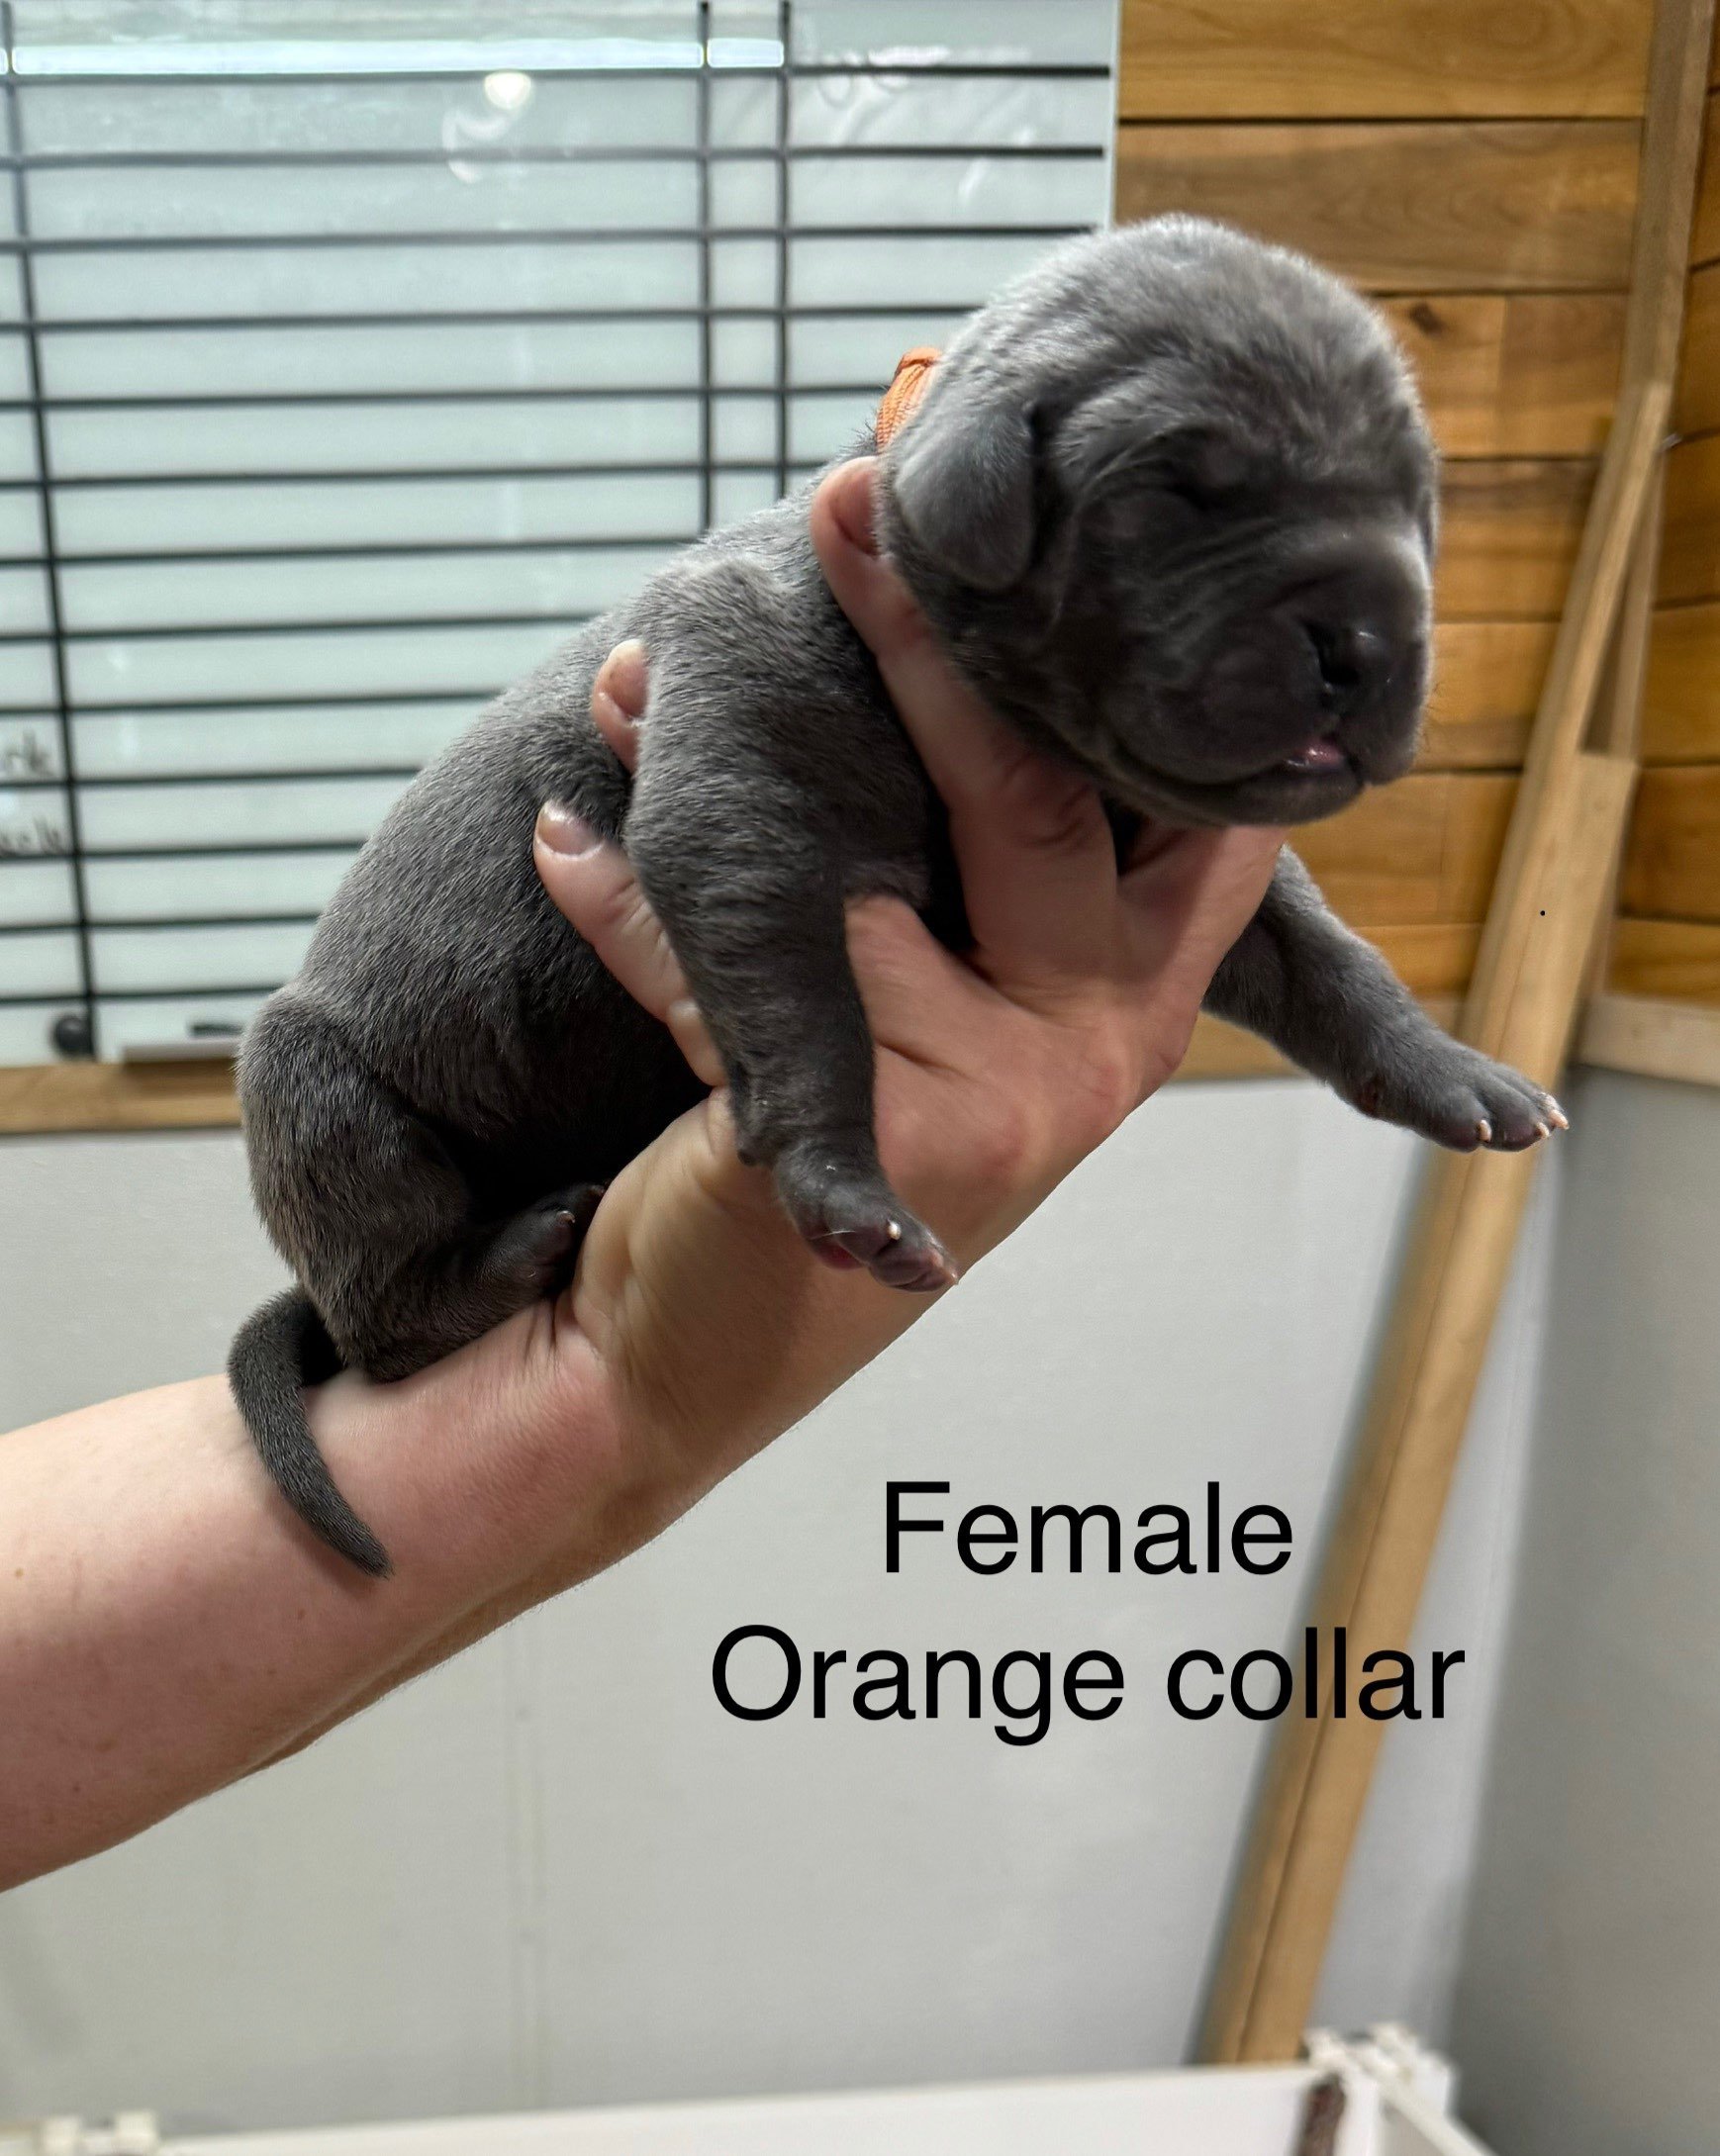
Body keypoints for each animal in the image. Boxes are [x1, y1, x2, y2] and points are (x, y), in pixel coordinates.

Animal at [231, 216, 1563, 1577]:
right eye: (1176, 493)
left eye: (1416, 497)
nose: (1368, 636)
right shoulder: (741, 767)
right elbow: (809, 1000)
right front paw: (846, 1183)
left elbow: (1330, 956)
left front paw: (1456, 1073)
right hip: (322, 1099)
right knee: (386, 1314)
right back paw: (508, 1253)